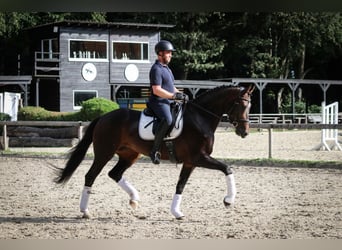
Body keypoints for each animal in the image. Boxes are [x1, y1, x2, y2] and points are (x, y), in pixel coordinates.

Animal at [54, 84, 254, 219]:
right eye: (240, 105)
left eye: (249, 106)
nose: (244, 132)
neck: (200, 118)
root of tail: (103, 117)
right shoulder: (199, 157)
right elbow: (227, 168)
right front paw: (228, 200)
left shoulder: (190, 162)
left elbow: (180, 185)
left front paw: (176, 212)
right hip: (104, 153)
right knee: (91, 176)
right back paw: (85, 211)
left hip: (129, 155)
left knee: (114, 173)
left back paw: (134, 199)